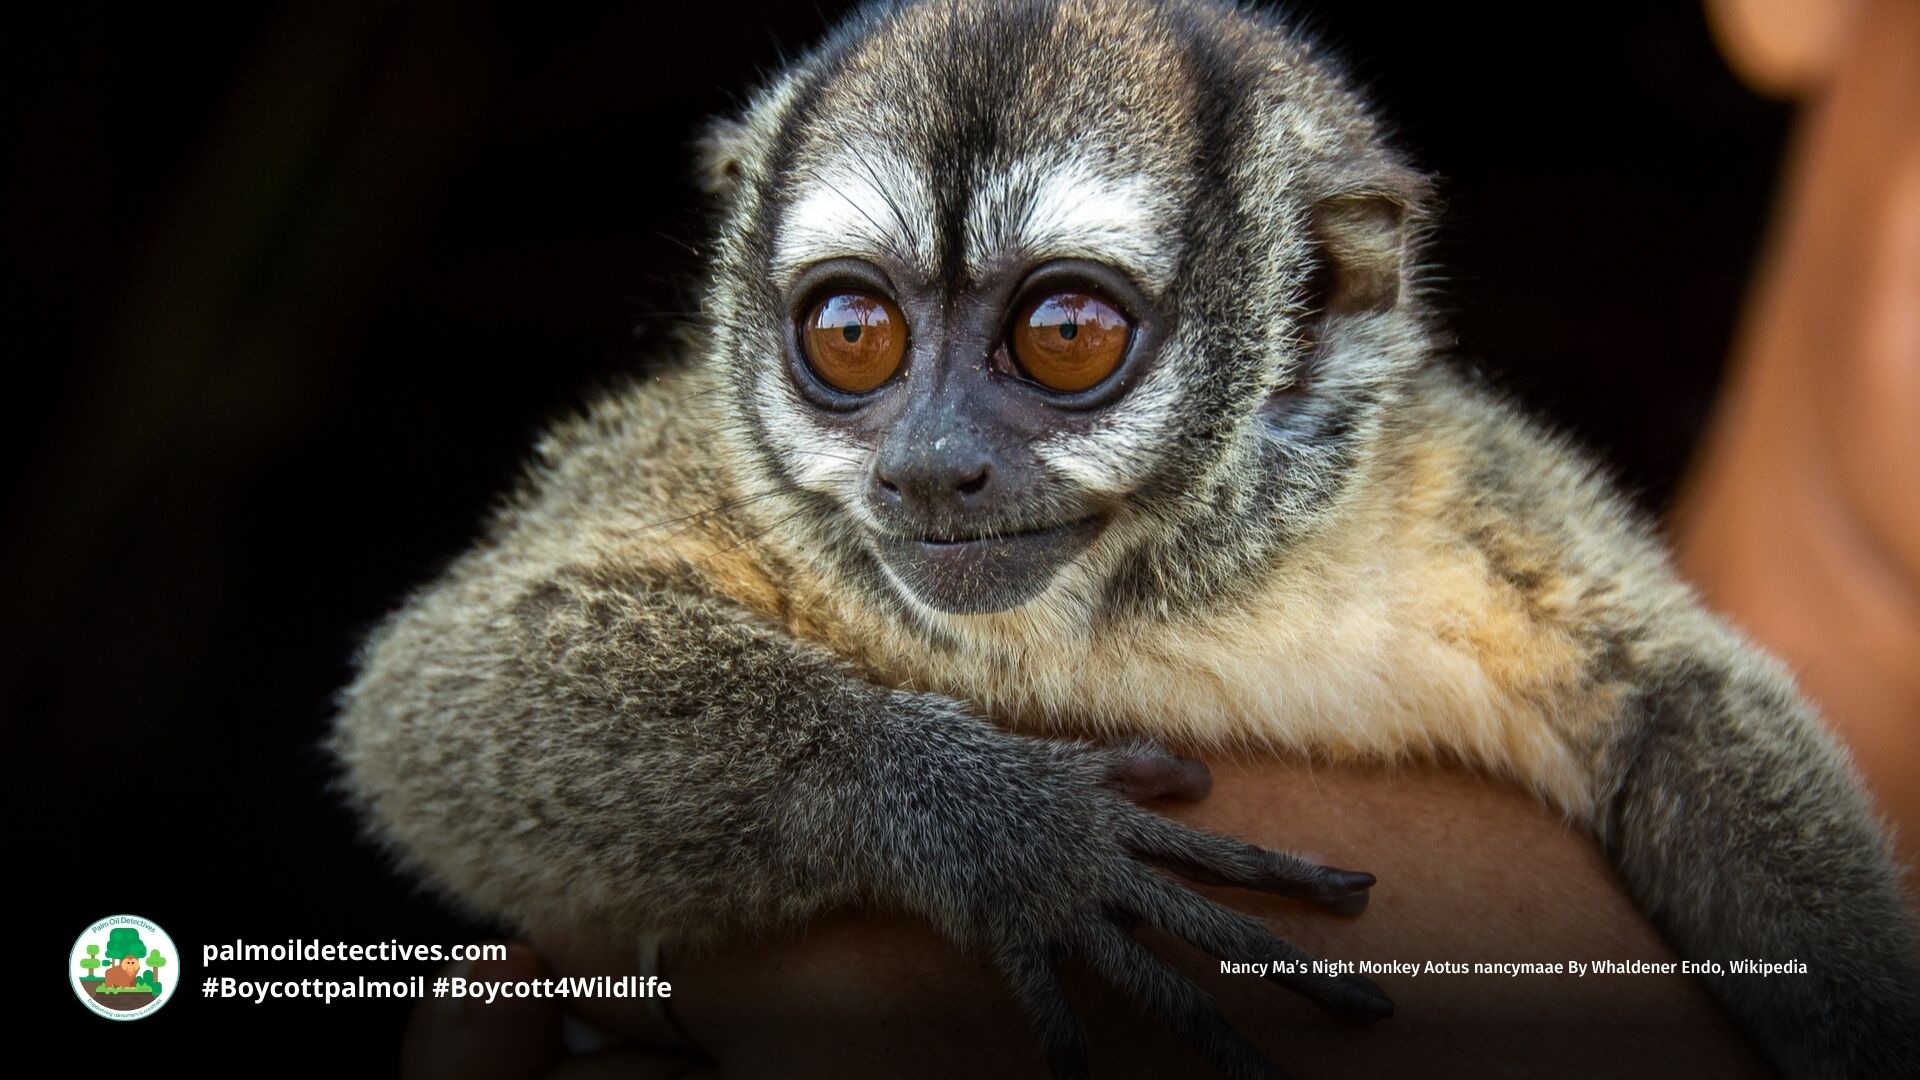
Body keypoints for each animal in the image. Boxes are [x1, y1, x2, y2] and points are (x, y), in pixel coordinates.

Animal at [329, 1, 1920, 1077]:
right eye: (852, 335)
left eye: (1068, 334)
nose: (932, 468)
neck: (1121, 607)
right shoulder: (703, 471)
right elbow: (435, 693)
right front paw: (1013, 835)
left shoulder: (1445, 495)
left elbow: (1675, 692)